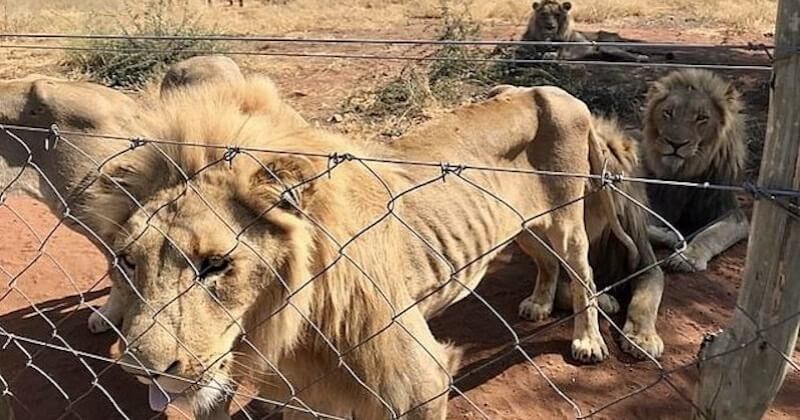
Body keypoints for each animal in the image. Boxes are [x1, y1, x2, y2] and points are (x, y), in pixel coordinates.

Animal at [520, 0, 648, 62]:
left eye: (557, 14)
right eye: (544, 14)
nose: (550, 26)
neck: (546, 37)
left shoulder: (574, 46)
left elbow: (555, 52)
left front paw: (549, 54)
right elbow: (527, 50)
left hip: (606, 46)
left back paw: (642, 58)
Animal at [640, 69, 748, 272]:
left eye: (702, 118)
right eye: (668, 113)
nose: (675, 144)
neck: (685, 172)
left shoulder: (732, 213)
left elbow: (711, 233)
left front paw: (687, 257)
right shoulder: (657, 205)